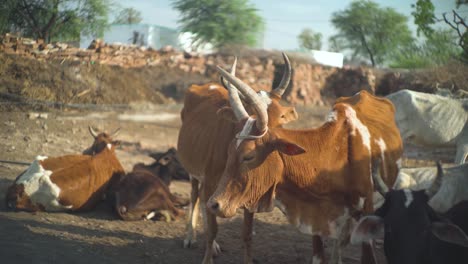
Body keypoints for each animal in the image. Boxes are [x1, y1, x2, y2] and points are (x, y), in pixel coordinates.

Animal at [177, 53, 298, 264]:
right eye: (251, 113)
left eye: (281, 117)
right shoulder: (210, 182)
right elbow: (213, 228)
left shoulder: (250, 187)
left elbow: (247, 233)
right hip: (193, 171)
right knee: (195, 196)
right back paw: (190, 236)